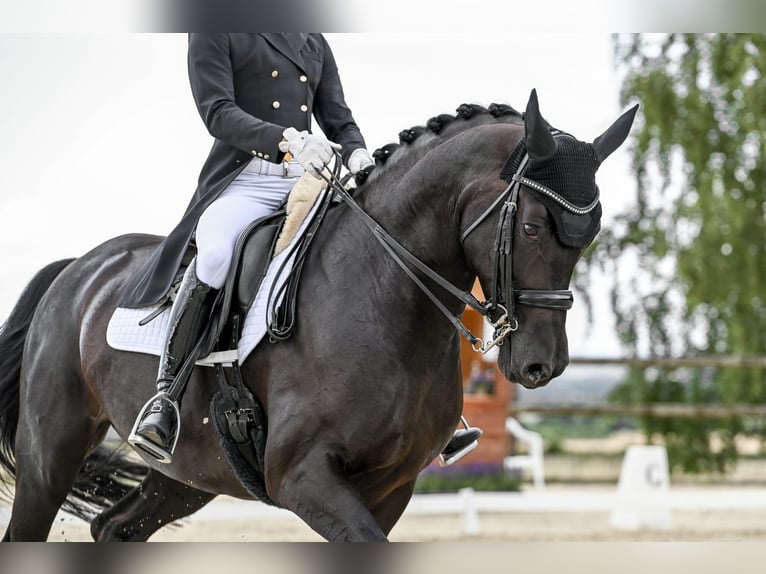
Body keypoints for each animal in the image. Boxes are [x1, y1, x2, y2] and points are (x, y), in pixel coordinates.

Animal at [0, 92, 636, 544]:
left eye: (591, 233)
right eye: (530, 227)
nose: (541, 365)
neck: (379, 297)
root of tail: (78, 268)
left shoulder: (390, 487)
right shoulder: (302, 477)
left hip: (191, 472)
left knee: (115, 527)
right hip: (50, 458)